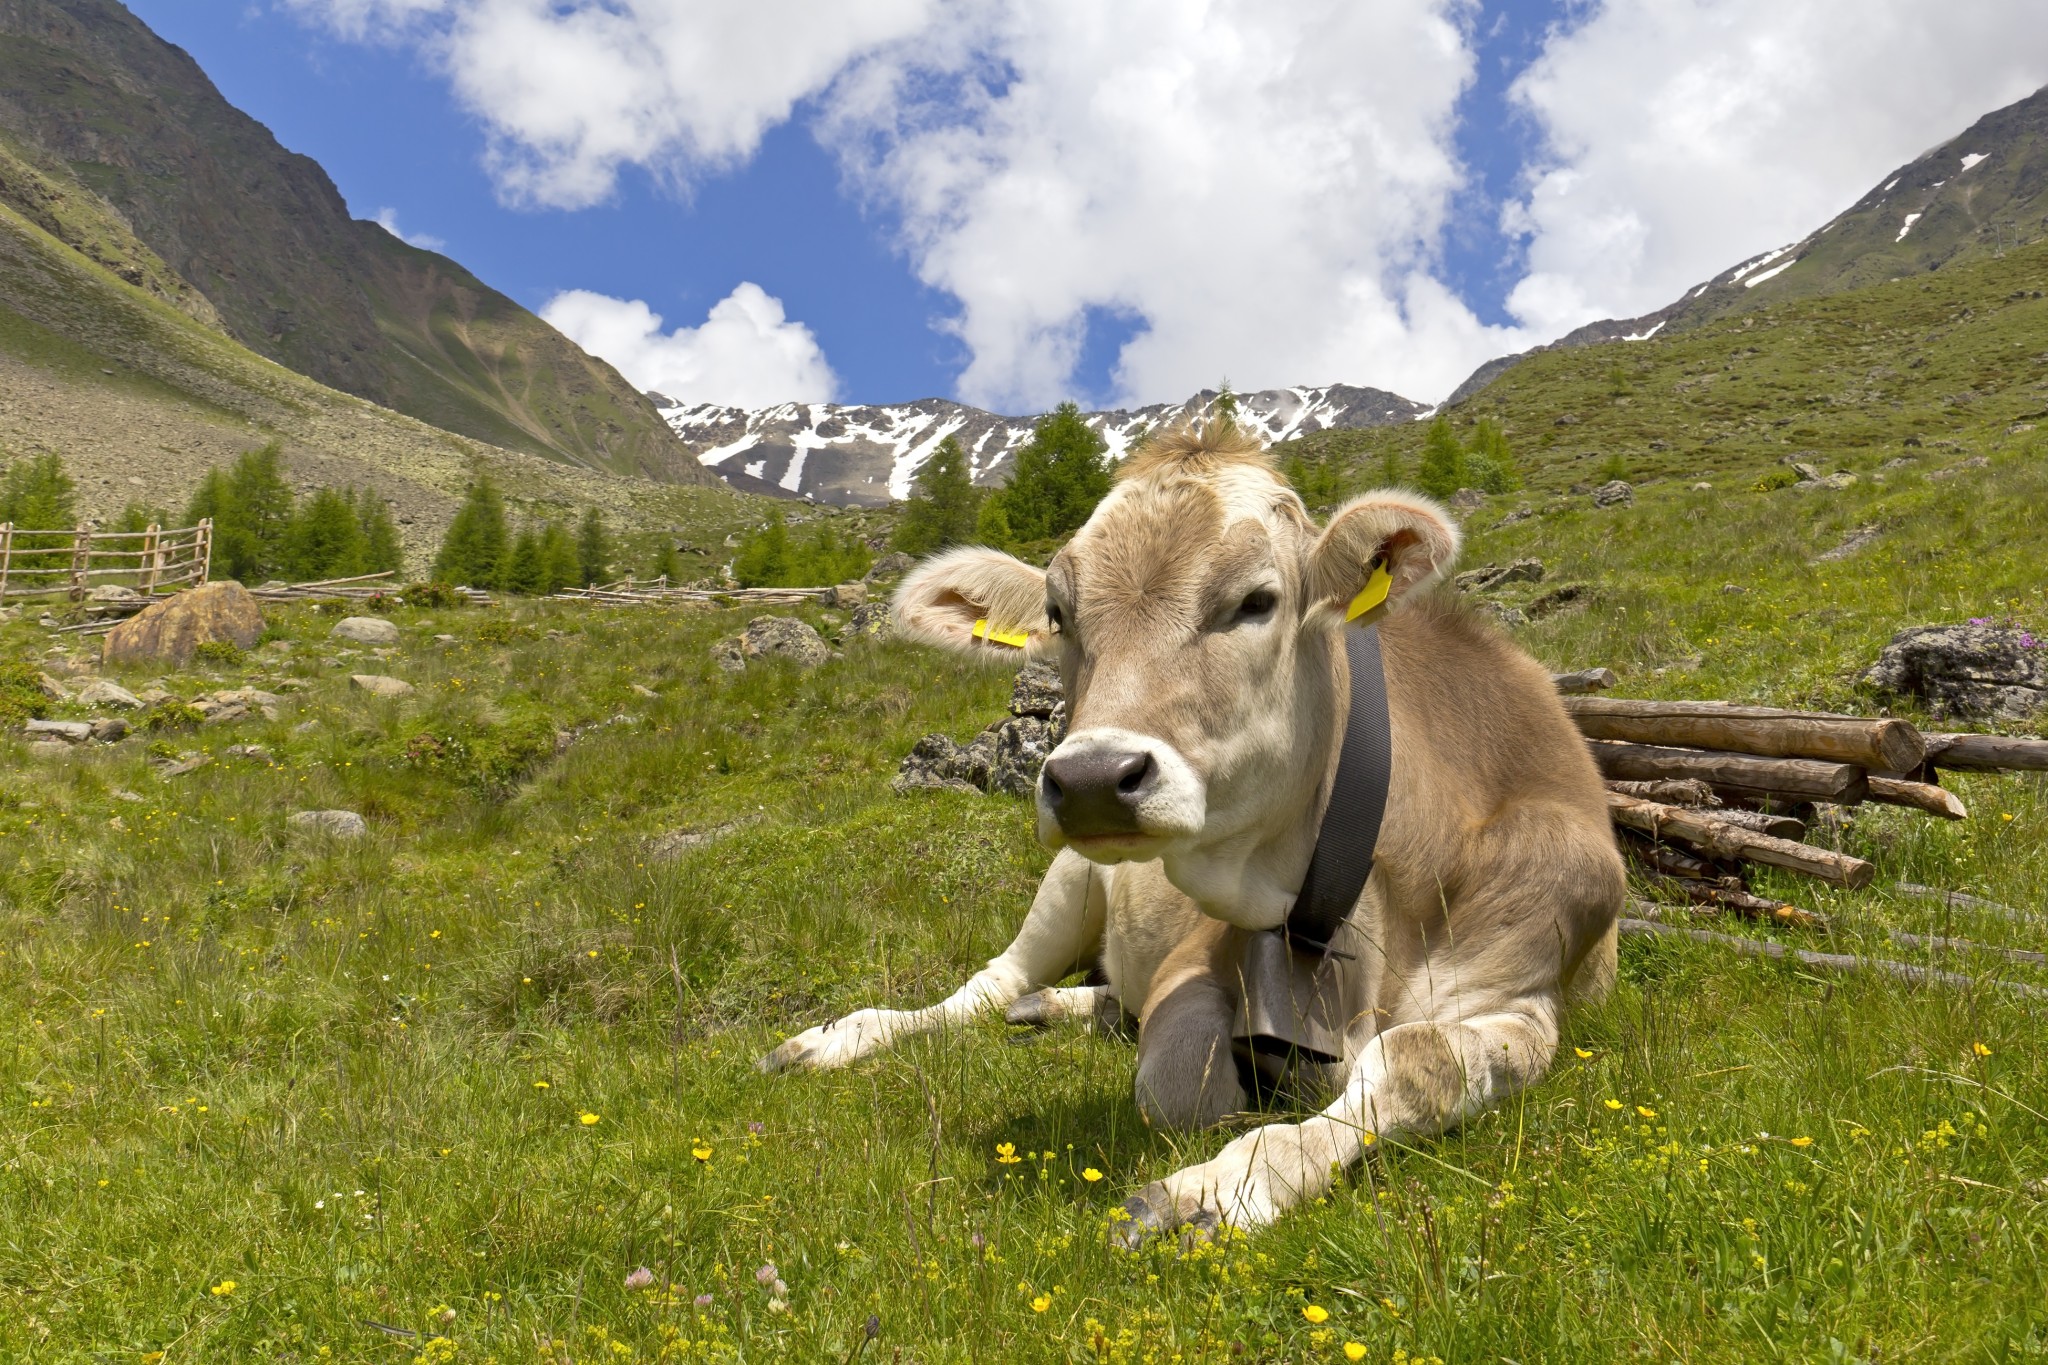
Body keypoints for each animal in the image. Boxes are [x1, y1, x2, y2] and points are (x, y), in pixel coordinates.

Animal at [761, 423, 1622, 1236]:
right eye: (1058, 613)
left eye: (1257, 600)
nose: (1092, 778)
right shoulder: (1196, 956)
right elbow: (1180, 1087)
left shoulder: (1527, 993)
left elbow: (1418, 1060)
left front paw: (1228, 1183)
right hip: (1069, 883)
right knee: (985, 987)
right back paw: (843, 1036)